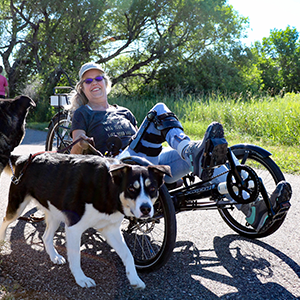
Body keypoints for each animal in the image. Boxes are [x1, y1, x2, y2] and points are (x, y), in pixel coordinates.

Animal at [0, 154, 171, 290]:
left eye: (152, 189)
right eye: (131, 188)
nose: (146, 209)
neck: (108, 188)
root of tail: (24, 158)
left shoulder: (111, 230)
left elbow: (128, 254)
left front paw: (134, 278)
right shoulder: (73, 228)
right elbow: (76, 256)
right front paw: (81, 279)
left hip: (55, 215)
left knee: (46, 237)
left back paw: (54, 256)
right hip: (17, 207)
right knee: (4, 221)